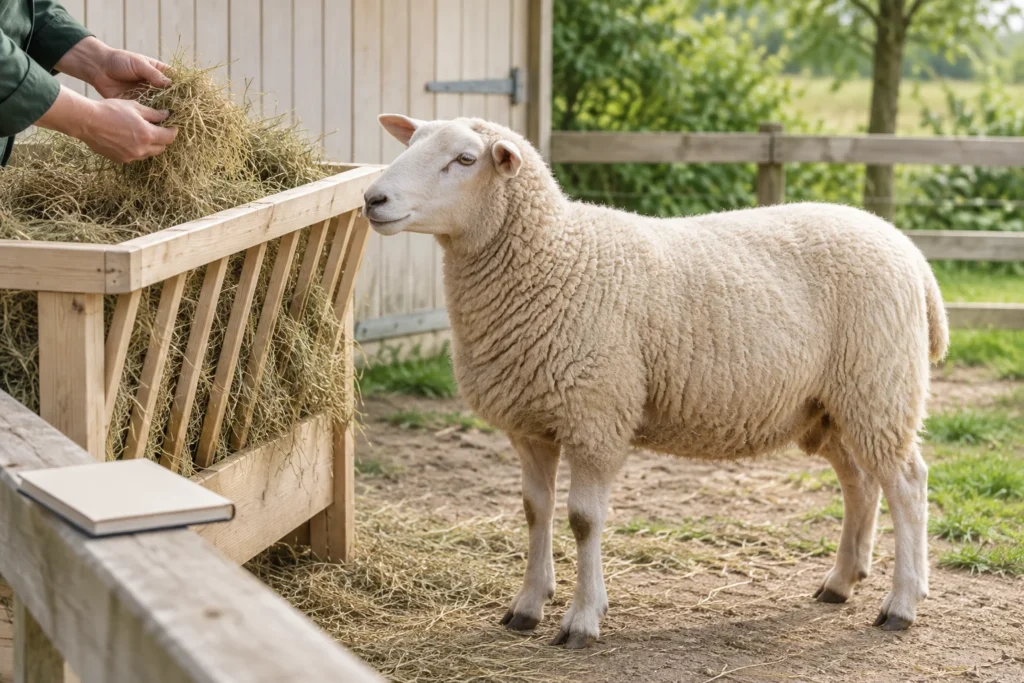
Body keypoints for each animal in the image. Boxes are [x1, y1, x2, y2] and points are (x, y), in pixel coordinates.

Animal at [362, 114, 950, 649]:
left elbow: (582, 519)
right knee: (861, 483)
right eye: (411, 144)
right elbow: (535, 511)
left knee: (907, 485)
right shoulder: (530, 422)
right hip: (831, 406)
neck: (556, 256)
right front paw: (527, 607)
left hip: (879, 386)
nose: (373, 199)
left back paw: (901, 604)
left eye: (464, 159)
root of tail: (909, 252)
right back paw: (841, 582)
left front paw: (582, 619)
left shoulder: (596, 415)